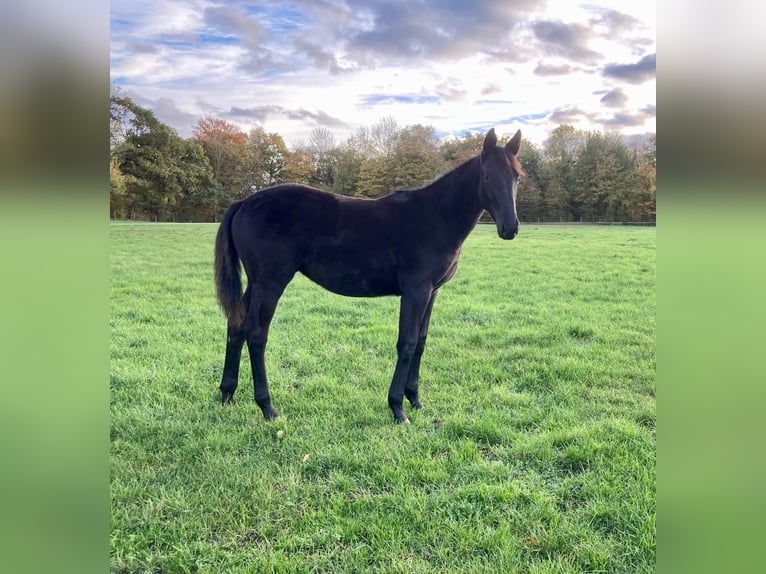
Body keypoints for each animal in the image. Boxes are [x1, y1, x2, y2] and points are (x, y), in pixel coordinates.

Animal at [214, 128, 520, 426]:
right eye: (488, 176)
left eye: (517, 176)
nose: (510, 228)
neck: (435, 217)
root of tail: (244, 202)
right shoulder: (416, 292)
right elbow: (407, 343)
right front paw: (398, 408)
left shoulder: (432, 292)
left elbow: (421, 342)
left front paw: (415, 400)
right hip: (271, 282)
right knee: (257, 334)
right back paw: (267, 407)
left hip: (256, 283)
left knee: (236, 325)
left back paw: (227, 393)